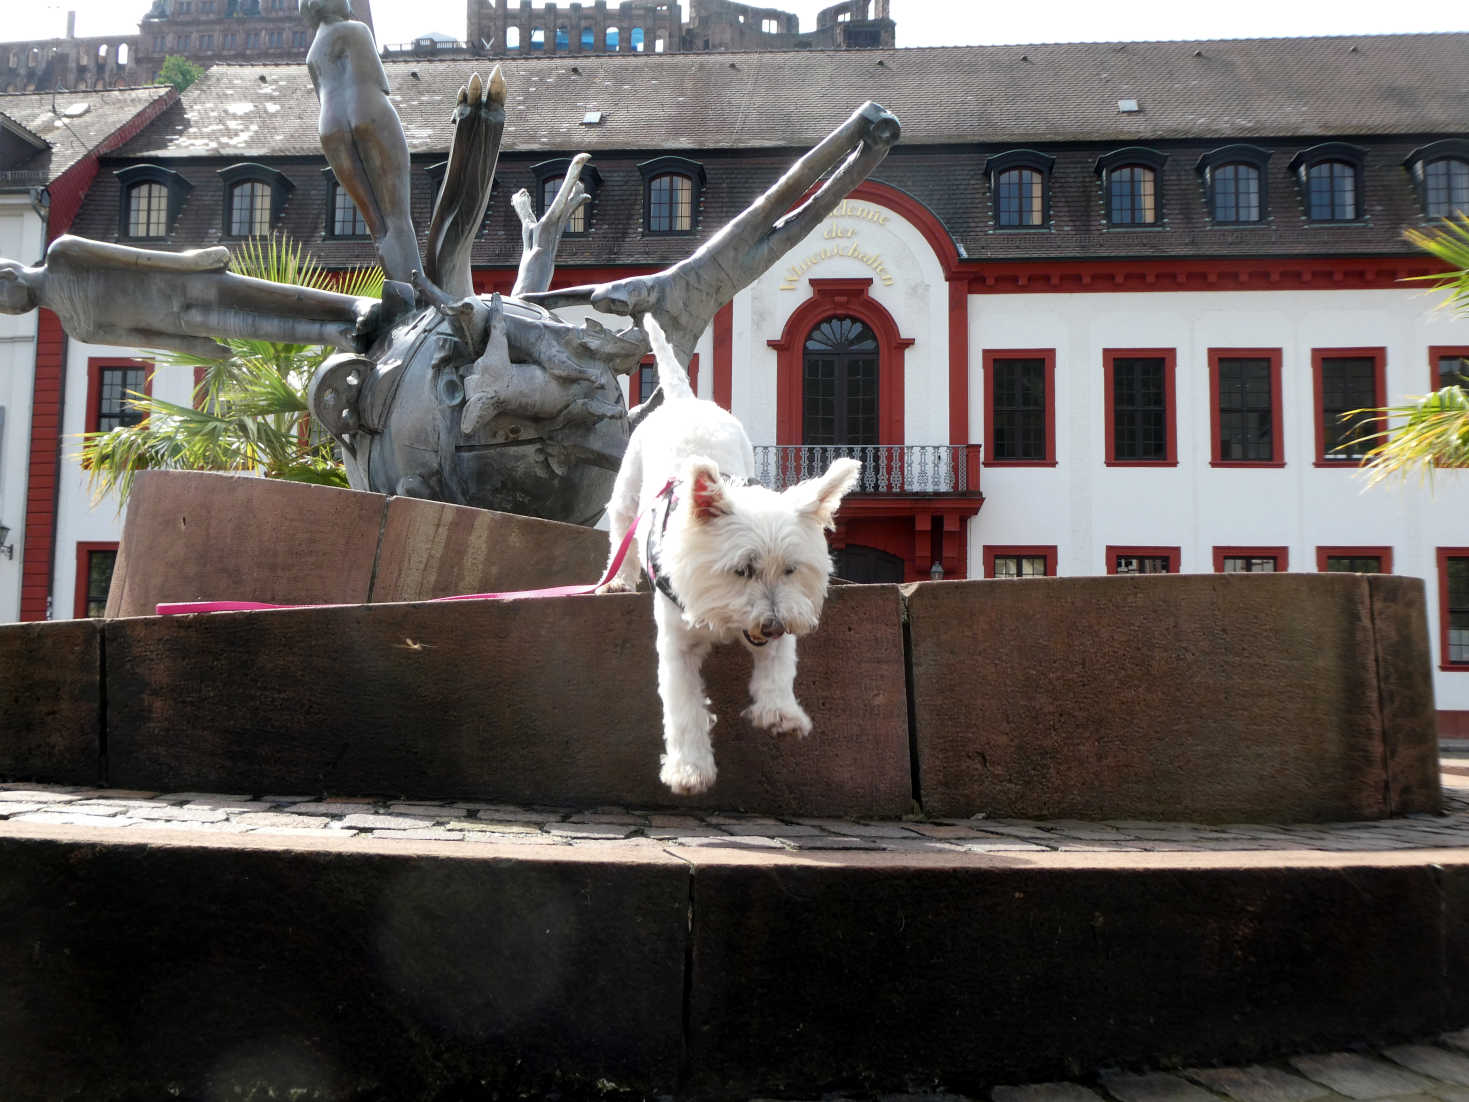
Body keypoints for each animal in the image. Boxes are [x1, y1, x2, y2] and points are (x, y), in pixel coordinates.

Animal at [596, 314, 857, 799]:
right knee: (621, 526)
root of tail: (686, 400)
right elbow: (683, 705)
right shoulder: (675, 642)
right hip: (628, 483)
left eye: (791, 569)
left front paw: (780, 711)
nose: (772, 625)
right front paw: (689, 769)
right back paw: (616, 579)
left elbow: (780, 665)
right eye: (742, 570)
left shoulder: (786, 612)